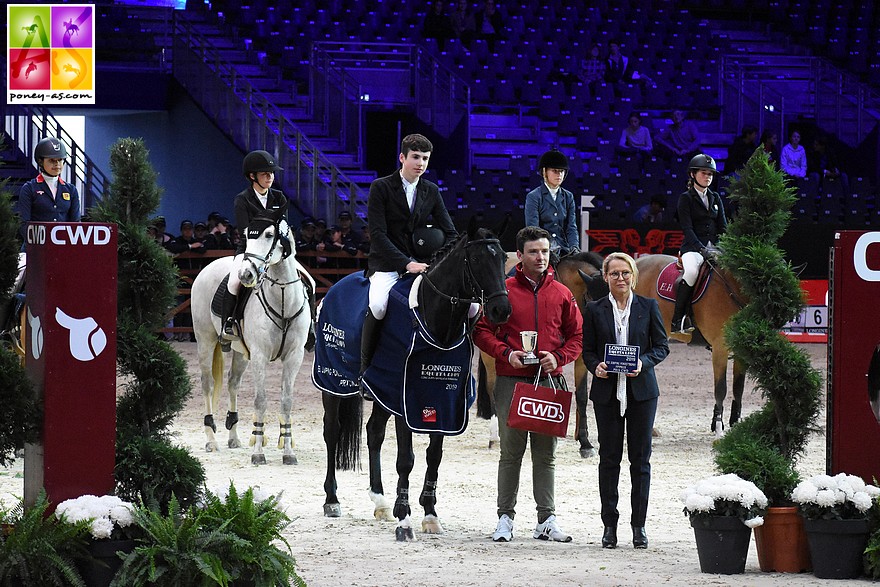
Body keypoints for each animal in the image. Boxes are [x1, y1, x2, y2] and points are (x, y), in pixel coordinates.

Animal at [192, 214, 312, 466]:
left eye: (269, 235)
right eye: (247, 235)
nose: (246, 275)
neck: (282, 299)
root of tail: (209, 266)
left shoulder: (294, 356)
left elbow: (287, 401)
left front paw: (288, 452)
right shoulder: (260, 355)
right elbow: (260, 400)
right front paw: (258, 452)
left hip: (240, 353)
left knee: (232, 383)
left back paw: (233, 437)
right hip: (205, 340)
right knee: (207, 384)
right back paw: (211, 440)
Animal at [316, 224, 512, 544]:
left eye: (503, 259)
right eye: (476, 260)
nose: (501, 310)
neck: (437, 322)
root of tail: (334, 288)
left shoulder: (442, 401)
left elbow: (434, 456)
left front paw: (430, 514)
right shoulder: (405, 400)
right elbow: (406, 459)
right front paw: (404, 519)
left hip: (381, 391)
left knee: (374, 433)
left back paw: (380, 501)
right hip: (332, 383)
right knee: (332, 432)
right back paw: (332, 500)